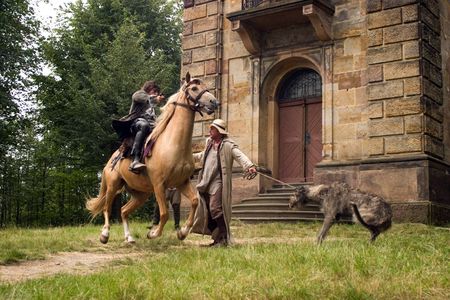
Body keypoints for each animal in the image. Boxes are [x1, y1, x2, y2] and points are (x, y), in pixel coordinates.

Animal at [86, 73, 220, 244]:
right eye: (195, 88)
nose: (214, 102)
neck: (173, 144)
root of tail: (111, 160)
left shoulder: (182, 183)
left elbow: (195, 202)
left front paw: (183, 232)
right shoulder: (159, 185)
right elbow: (164, 214)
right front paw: (154, 233)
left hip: (140, 194)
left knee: (123, 210)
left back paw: (129, 237)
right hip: (113, 185)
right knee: (106, 208)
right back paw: (105, 234)